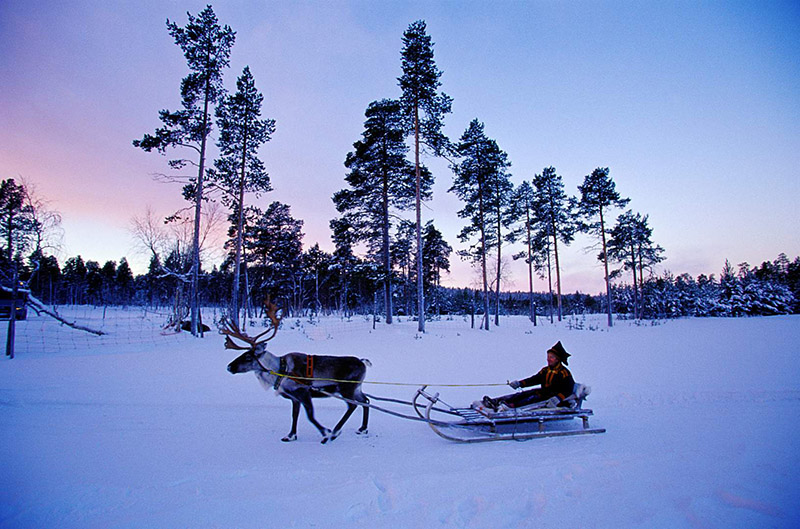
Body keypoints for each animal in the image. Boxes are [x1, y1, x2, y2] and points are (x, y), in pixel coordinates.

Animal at [224, 302, 370, 444]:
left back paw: (335, 432)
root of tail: (363, 362)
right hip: (356, 389)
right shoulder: (294, 398)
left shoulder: (303, 392)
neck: (280, 371)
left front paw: (326, 433)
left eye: (248, 357)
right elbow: (294, 415)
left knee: (353, 405)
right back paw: (362, 428)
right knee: (365, 401)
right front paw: (290, 436)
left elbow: (310, 415)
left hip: (346, 388)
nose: (229, 367)